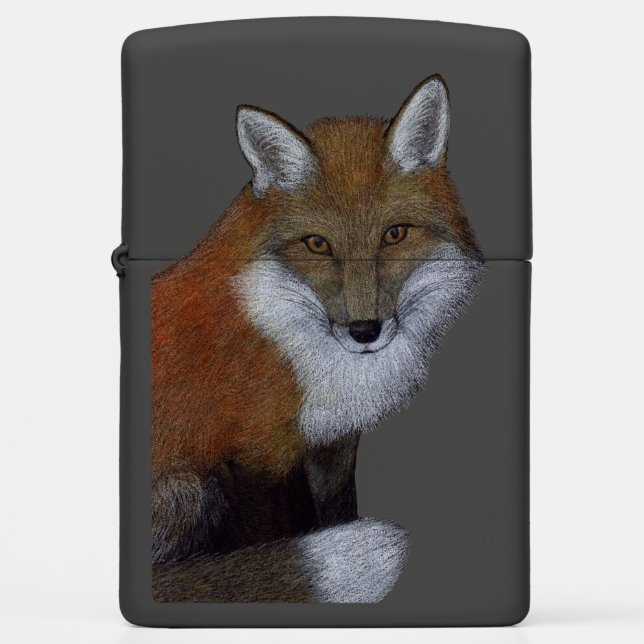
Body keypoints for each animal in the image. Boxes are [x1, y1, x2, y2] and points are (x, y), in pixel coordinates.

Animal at [151, 75, 484, 603]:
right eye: (317, 244)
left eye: (394, 234)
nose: (364, 331)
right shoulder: (251, 457)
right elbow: (270, 535)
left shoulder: (332, 442)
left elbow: (335, 511)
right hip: (191, 489)